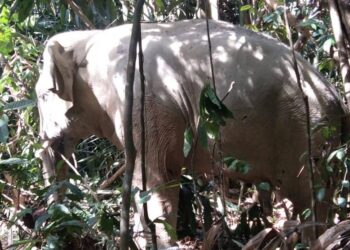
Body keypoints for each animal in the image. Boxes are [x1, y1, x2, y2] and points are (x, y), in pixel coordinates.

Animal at [34, 19, 348, 248]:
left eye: (41, 96)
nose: (60, 233)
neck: (89, 40)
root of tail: (336, 98)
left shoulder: (141, 105)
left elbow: (154, 181)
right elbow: (167, 179)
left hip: (306, 133)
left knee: (307, 198)